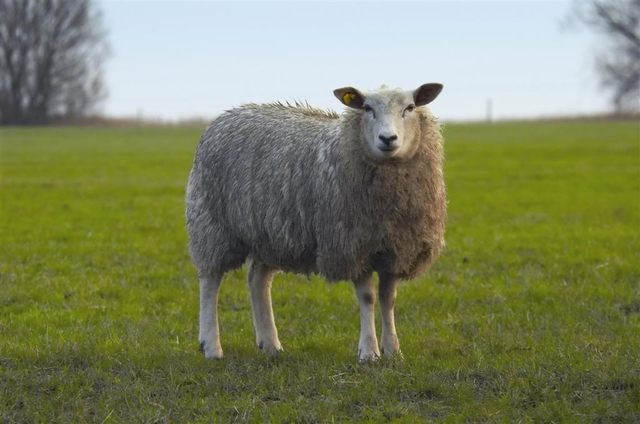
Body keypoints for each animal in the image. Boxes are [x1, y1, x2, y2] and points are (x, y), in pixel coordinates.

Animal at [185, 83, 446, 361]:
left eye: (410, 107)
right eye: (366, 108)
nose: (388, 139)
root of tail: (226, 116)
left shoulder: (396, 249)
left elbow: (389, 299)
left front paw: (393, 351)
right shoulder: (352, 247)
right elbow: (367, 298)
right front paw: (369, 352)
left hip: (270, 231)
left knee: (258, 279)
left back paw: (271, 344)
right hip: (211, 224)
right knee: (210, 281)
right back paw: (212, 346)